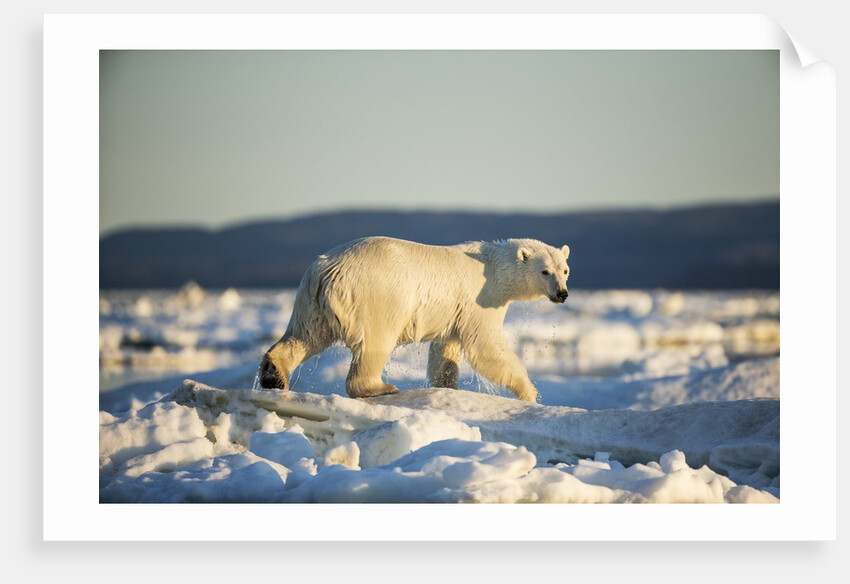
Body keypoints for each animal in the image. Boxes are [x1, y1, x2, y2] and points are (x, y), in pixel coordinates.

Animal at [259, 236, 571, 402]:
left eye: (565, 269)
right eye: (545, 271)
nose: (563, 293)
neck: (493, 268)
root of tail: (327, 268)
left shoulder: (454, 311)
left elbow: (445, 353)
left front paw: (447, 388)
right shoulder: (481, 299)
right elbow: (485, 348)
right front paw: (530, 393)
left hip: (310, 299)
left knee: (305, 335)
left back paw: (273, 375)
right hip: (375, 295)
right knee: (375, 342)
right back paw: (381, 387)